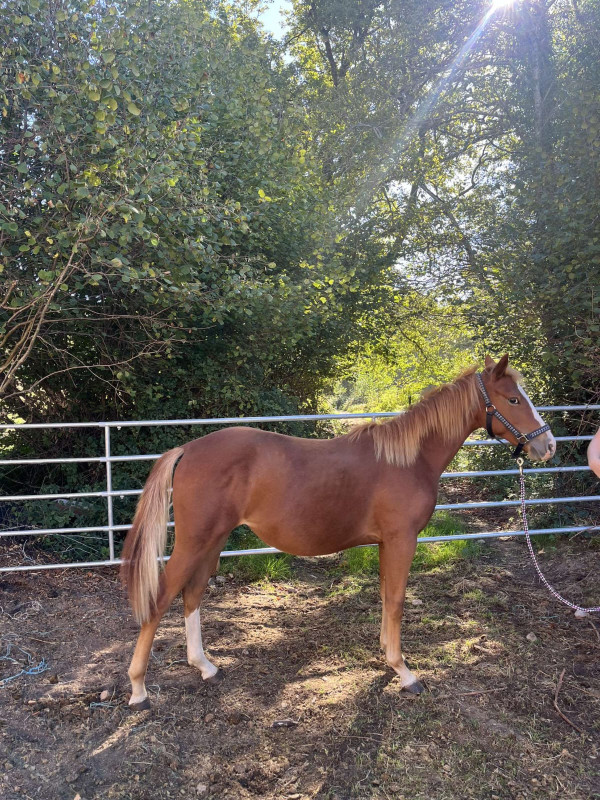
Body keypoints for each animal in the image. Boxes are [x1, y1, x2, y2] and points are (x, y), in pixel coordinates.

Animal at [121, 355, 556, 709]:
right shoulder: (402, 540)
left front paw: (387, 655)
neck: (409, 459)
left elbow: (385, 596)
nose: (548, 446)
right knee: (160, 599)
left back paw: (205, 667)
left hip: (213, 541)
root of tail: (187, 450)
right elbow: (397, 600)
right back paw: (139, 690)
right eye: (513, 400)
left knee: (192, 594)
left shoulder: (385, 543)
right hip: (195, 541)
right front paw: (404, 672)